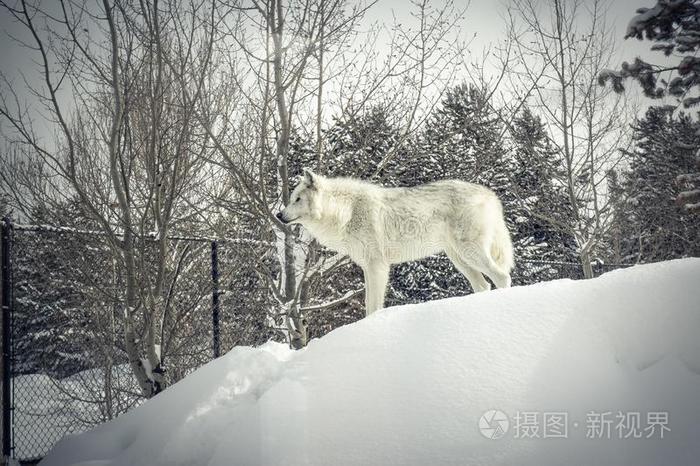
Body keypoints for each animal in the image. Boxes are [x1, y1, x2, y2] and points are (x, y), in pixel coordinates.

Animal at [278, 171, 516, 316]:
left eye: (298, 199)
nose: (279, 215)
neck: (347, 211)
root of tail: (490, 195)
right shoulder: (368, 267)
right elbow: (369, 304)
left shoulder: (378, 266)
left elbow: (373, 305)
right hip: (460, 259)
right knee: (483, 285)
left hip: (470, 253)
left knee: (502, 277)